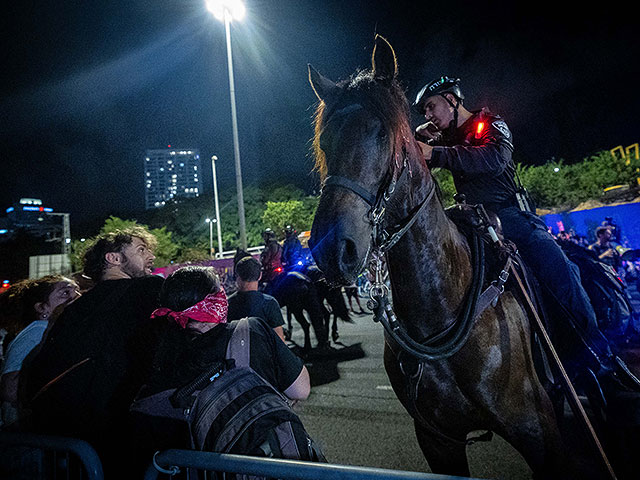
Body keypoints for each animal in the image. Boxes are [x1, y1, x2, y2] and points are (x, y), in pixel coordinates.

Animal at [308, 35, 584, 478]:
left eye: (382, 133)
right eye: (324, 141)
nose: (332, 249)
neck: (441, 311)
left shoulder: (538, 430)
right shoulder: (438, 441)